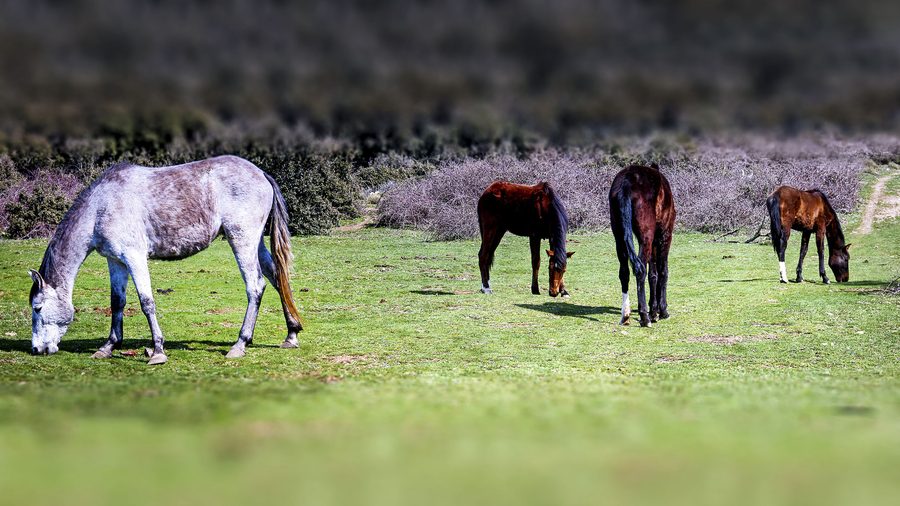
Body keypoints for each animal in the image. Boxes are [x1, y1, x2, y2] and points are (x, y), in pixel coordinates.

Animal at [27, 155, 304, 365]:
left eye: (37, 308)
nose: (36, 349)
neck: (101, 206)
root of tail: (261, 174)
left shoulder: (134, 257)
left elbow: (146, 302)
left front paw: (158, 351)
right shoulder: (116, 262)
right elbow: (117, 302)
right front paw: (108, 346)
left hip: (242, 241)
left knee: (255, 286)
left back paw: (240, 343)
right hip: (255, 244)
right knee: (277, 278)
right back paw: (291, 334)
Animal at [609, 164, 676, 327]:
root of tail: (626, 182)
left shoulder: (653, 241)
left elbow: (653, 274)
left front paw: (654, 310)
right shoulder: (664, 236)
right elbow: (662, 271)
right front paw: (661, 311)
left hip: (620, 238)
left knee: (624, 272)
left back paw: (625, 315)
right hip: (647, 238)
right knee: (640, 270)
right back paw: (644, 316)